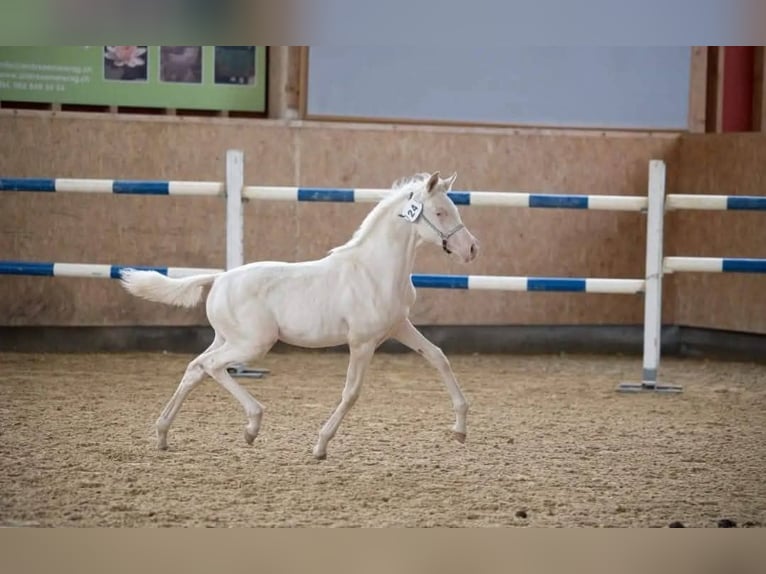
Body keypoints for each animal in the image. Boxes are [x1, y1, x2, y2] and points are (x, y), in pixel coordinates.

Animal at [120, 171, 480, 459]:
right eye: (439, 212)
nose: (472, 249)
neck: (373, 271)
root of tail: (218, 279)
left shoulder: (399, 327)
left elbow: (438, 357)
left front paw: (460, 429)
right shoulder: (362, 342)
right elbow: (351, 392)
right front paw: (320, 446)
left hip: (227, 339)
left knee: (196, 368)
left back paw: (163, 434)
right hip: (252, 344)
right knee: (211, 366)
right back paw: (251, 426)